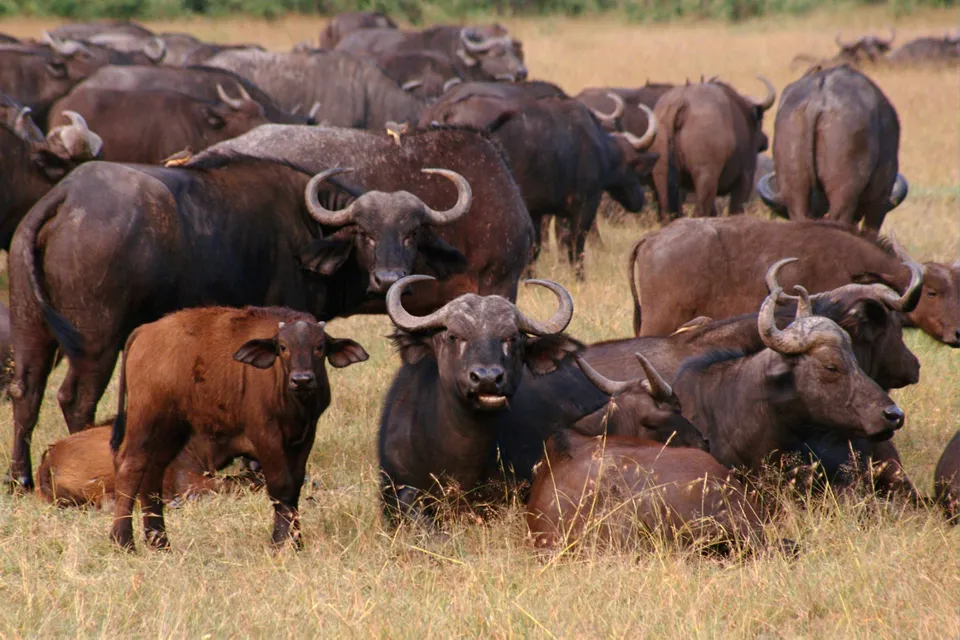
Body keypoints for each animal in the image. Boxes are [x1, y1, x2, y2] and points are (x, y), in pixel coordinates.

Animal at [110, 305, 368, 550]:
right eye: (283, 347)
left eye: (320, 346)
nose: (302, 380)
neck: (293, 401)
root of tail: (144, 331)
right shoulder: (265, 434)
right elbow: (281, 486)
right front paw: (279, 543)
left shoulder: (305, 436)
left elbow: (295, 486)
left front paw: (297, 542)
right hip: (145, 418)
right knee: (130, 465)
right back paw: (123, 541)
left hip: (173, 427)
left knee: (153, 468)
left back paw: (159, 542)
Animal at [419, 84, 657, 278]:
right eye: (634, 169)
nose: (640, 201)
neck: (597, 147)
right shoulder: (584, 205)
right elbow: (575, 244)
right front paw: (579, 277)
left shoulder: (537, 210)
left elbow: (539, 246)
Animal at [651, 77, 775, 219]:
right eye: (761, 119)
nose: (765, 141)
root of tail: (681, 102)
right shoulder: (745, 177)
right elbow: (735, 209)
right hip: (706, 176)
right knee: (700, 211)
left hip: (662, 175)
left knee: (668, 212)